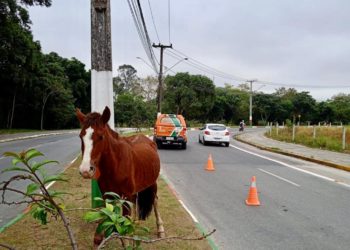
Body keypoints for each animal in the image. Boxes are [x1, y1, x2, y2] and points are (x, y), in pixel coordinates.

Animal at [76, 106, 164, 245]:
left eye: (101, 137)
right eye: (81, 136)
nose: (85, 170)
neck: (116, 164)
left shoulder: (126, 197)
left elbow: (125, 228)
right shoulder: (106, 196)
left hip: (152, 182)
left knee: (155, 200)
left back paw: (160, 229)